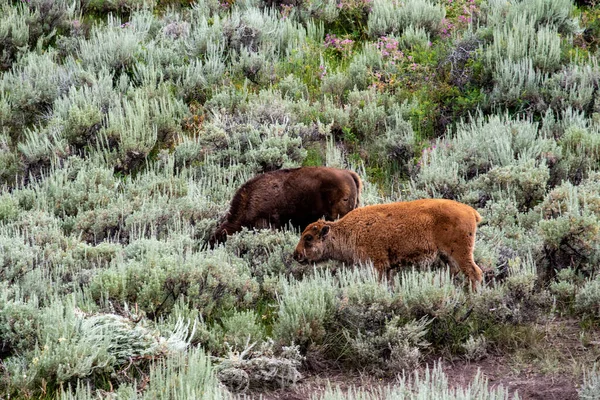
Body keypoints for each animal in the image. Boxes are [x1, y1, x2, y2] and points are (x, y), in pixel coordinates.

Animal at [292, 199, 486, 288]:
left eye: (308, 237)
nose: (296, 255)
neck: (349, 230)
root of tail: (470, 211)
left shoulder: (378, 265)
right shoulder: (387, 269)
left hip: (460, 253)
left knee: (475, 273)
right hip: (447, 256)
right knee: (456, 272)